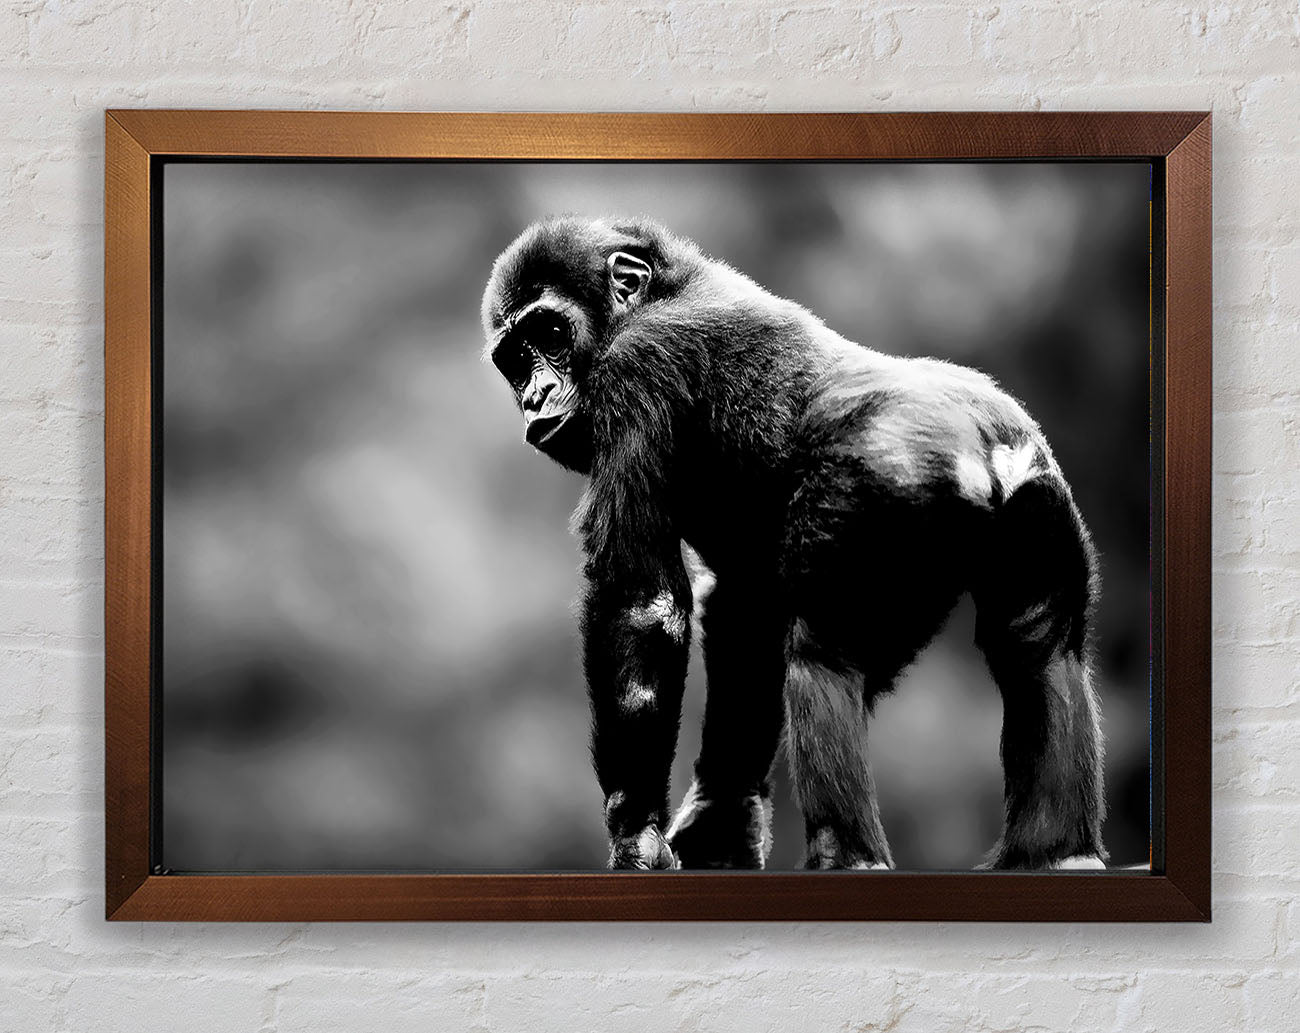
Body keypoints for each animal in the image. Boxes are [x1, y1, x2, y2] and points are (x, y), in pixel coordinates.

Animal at [480, 216, 1107, 872]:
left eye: (550, 334)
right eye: (515, 360)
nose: (535, 395)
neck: (658, 293)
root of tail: (983, 445)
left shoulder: (636, 369)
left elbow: (640, 606)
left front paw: (635, 832)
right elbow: (746, 616)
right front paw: (720, 823)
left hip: (883, 487)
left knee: (823, 656)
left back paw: (848, 855)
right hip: (1037, 494)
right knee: (1038, 647)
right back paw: (1057, 854)